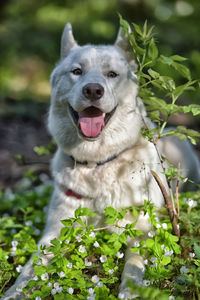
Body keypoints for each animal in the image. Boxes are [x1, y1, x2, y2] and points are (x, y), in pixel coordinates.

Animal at [3, 22, 200, 298]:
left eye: (112, 74)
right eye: (77, 72)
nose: (93, 90)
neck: (97, 163)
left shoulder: (142, 228)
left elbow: (134, 264)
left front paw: (131, 291)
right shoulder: (55, 230)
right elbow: (31, 268)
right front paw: (15, 291)